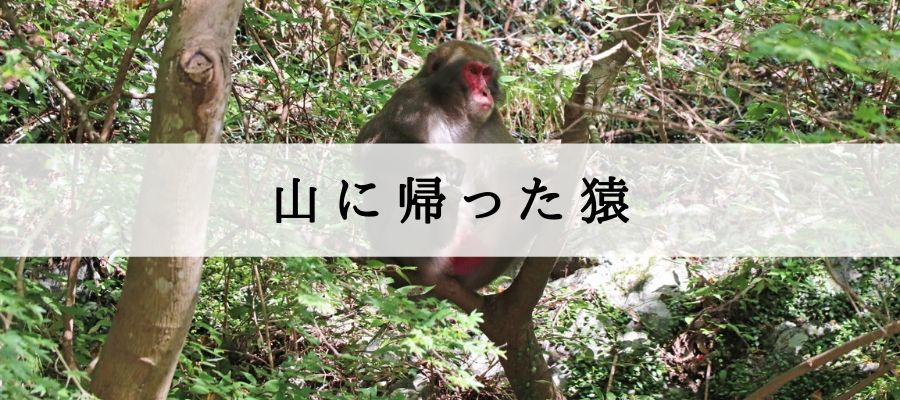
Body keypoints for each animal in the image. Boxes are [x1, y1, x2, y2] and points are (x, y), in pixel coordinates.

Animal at [356, 41, 519, 291]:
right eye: (473, 71)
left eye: (486, 73)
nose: (485, 92)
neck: (454, 112)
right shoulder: (409, 98)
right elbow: (369, 148)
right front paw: (447, 162)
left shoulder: (492, 120)